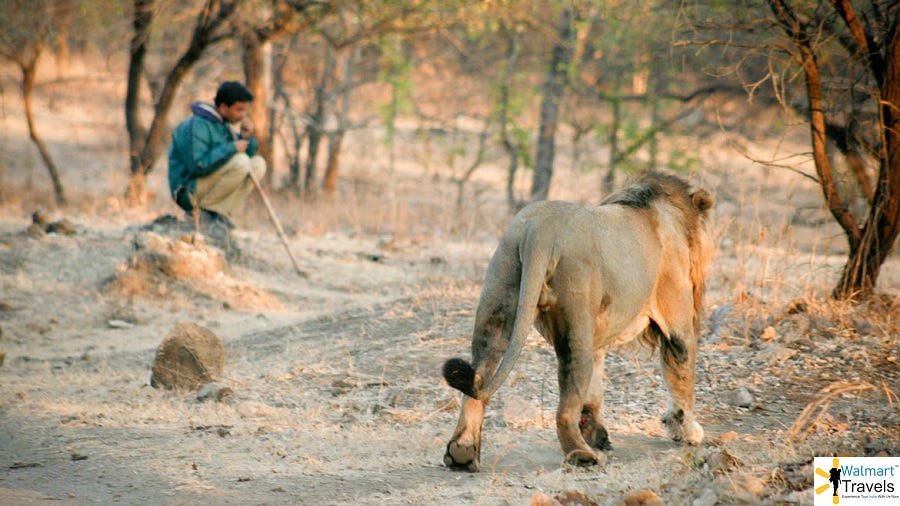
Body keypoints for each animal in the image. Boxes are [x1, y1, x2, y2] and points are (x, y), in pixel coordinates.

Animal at [442, 170, 712, 470]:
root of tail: (539, 230)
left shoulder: (598, 333)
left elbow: (594, 391)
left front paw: (598, 435)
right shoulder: (677, 325)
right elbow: (682, 378)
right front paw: (688, 431)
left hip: (499, 300)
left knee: (477, 380)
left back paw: (463, 452)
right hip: (574, 320)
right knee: (565, 407)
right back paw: (581, 455)